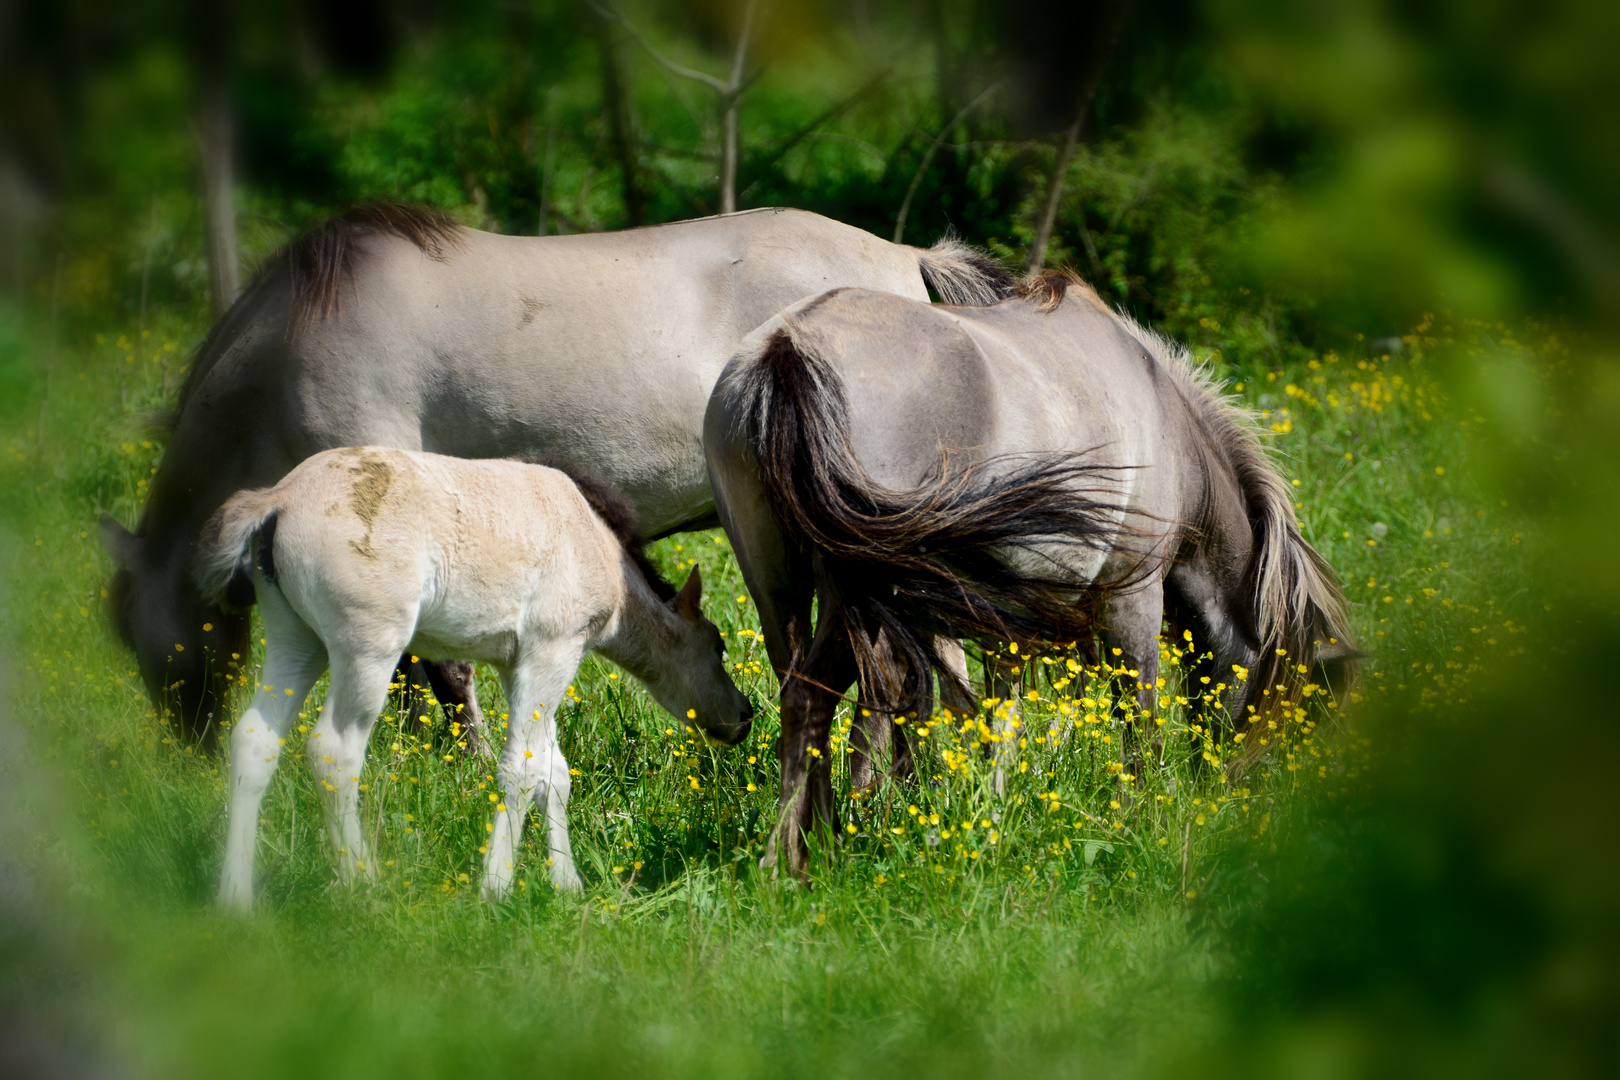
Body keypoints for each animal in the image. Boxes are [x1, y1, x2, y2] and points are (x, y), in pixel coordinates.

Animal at [98, 204, 1010, 744]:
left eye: (141, 640)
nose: (189, 749)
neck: (292, 344)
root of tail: (903, 257)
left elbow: (440, 669)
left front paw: (460, 763)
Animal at [192, 446, 748, 913]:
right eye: (718, 646)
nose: (744, 716)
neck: (595, 544)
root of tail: (279, 499)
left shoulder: (520, 665)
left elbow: (554, 773)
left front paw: (567, 885)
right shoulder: (552, 651)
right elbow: (521, 770)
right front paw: (496, 888)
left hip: (296, 639)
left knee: (255, 740)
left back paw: (235, 898)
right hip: (366, 648)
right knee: (334, 750)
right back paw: (362, 882)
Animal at [706, 270, 1354, 880]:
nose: (1239, 791)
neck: (1169, 430)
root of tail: (789, 349)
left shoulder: (1009, 622)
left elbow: (1003, 717)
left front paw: (991, 813)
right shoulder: (1132, 596)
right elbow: (1136, 711)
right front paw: (1140, 814)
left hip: (783, 588)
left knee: (802, 697)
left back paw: (807, 849)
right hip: (862, 596)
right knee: (827, 695)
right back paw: (798, 856)